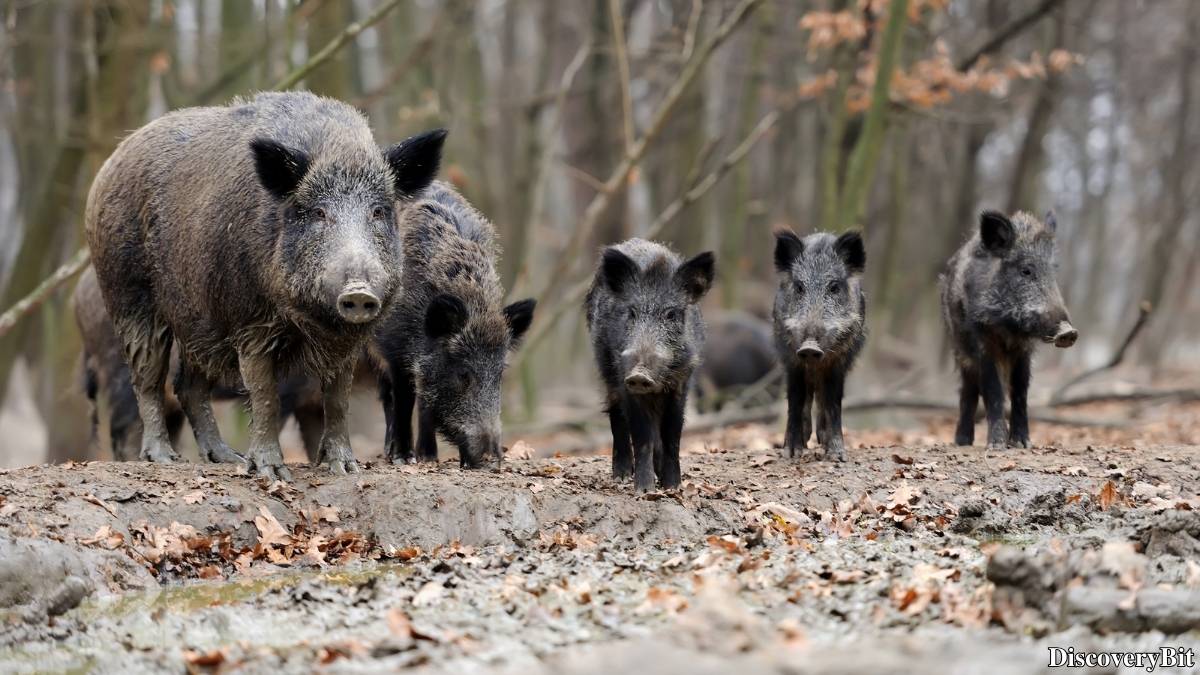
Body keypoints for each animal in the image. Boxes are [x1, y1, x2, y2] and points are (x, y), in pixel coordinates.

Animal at [84, 91, 445, 479]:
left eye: (378, 211)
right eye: (318, 213)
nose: (359, 291)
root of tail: (111, 162)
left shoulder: (347, 341)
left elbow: (337, 398)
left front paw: (345, 469)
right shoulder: (250, 323)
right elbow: (264, 394)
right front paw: (272, 472)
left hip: (198, 319)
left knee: (188, 386)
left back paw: (227, 458)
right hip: (128, 295)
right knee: (147, 377)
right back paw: (163, 457)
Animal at [373, 182, 536, 468]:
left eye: (500, 374)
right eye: (463, 374)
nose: (492, 457)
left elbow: (425, 402)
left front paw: (435, 458)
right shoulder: (394, 350)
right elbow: (404, 399)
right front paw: (405, 458)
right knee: (388, 395)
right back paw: (393, 453)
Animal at [586, 239, 714, 492]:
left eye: (671, 314)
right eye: (632, 312)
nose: (639, 374)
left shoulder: (682, 381)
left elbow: (672, 433)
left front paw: (672, 487)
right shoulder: (625, 380)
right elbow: (641, 433)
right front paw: (645, 490)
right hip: (606, 367)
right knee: (616, 415)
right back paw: (621, 476)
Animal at [772, 229, 866, 462]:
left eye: (834, 287)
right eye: (799, 287)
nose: (810, 347)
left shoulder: (839, 361)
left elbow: (833, 402)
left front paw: (837, 455)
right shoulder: (791, 358)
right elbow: (796, 399)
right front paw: (792, 453)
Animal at [941, 210, 1078, 450]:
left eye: (1053, 271)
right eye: (1026, 270)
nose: (1068, 332)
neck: (1009, 329)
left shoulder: (1024, 350)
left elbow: (1020, 390)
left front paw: (1023, 444)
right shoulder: (982, 341)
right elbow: (993, 389)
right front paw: (997, 446)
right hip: (959, 349)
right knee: (968, 389)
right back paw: (963, 442)